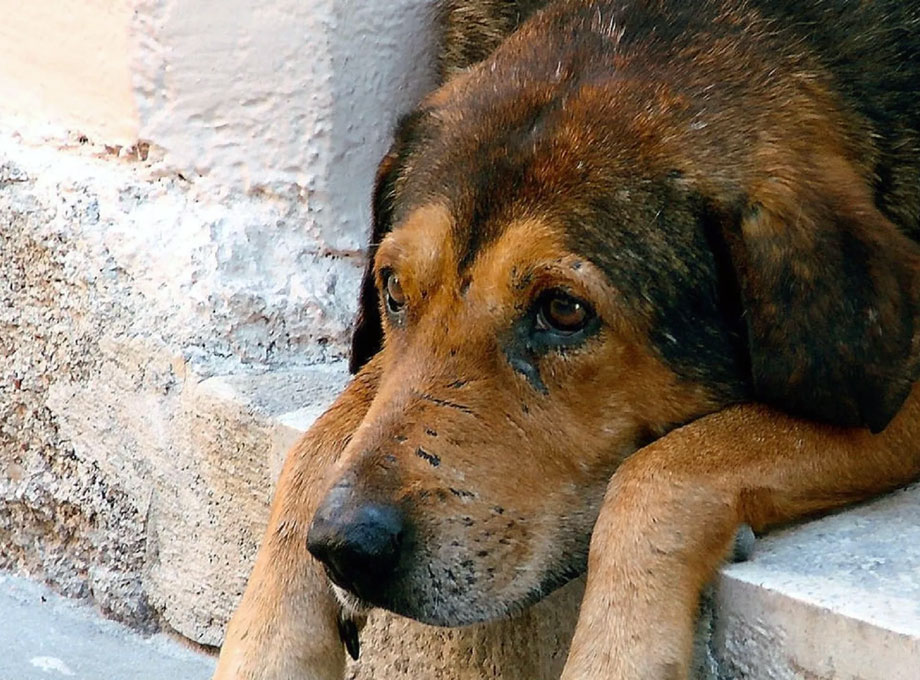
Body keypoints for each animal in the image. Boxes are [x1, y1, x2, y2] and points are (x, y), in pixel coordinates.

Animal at [214, 1, 920, 680]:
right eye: (393, 290)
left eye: (563, 310)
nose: (345, 548)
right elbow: (317, 441)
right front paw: (269, 646)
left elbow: (657, 471)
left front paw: (621, 654)